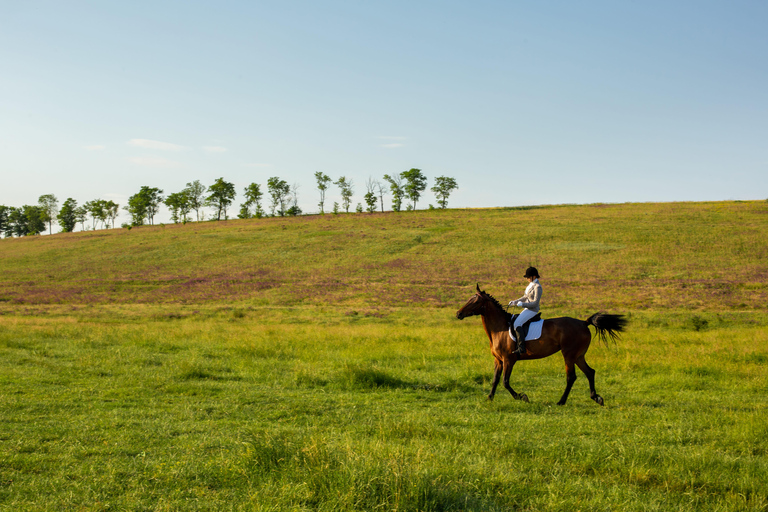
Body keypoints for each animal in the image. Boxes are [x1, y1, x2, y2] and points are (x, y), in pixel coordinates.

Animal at [456, 284, 626, 406]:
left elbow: (505, 382)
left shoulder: (509, 360)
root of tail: (584, 323)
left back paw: (561, 401)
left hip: (569, 355)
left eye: (475, 301)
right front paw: (489, 398)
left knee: (571, 377)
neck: (500, 329)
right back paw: (596, 398)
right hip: (578, 356)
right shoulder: (498, 360)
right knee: (590, 372)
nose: (458, 314)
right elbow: (495, 380)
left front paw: (522, 397)